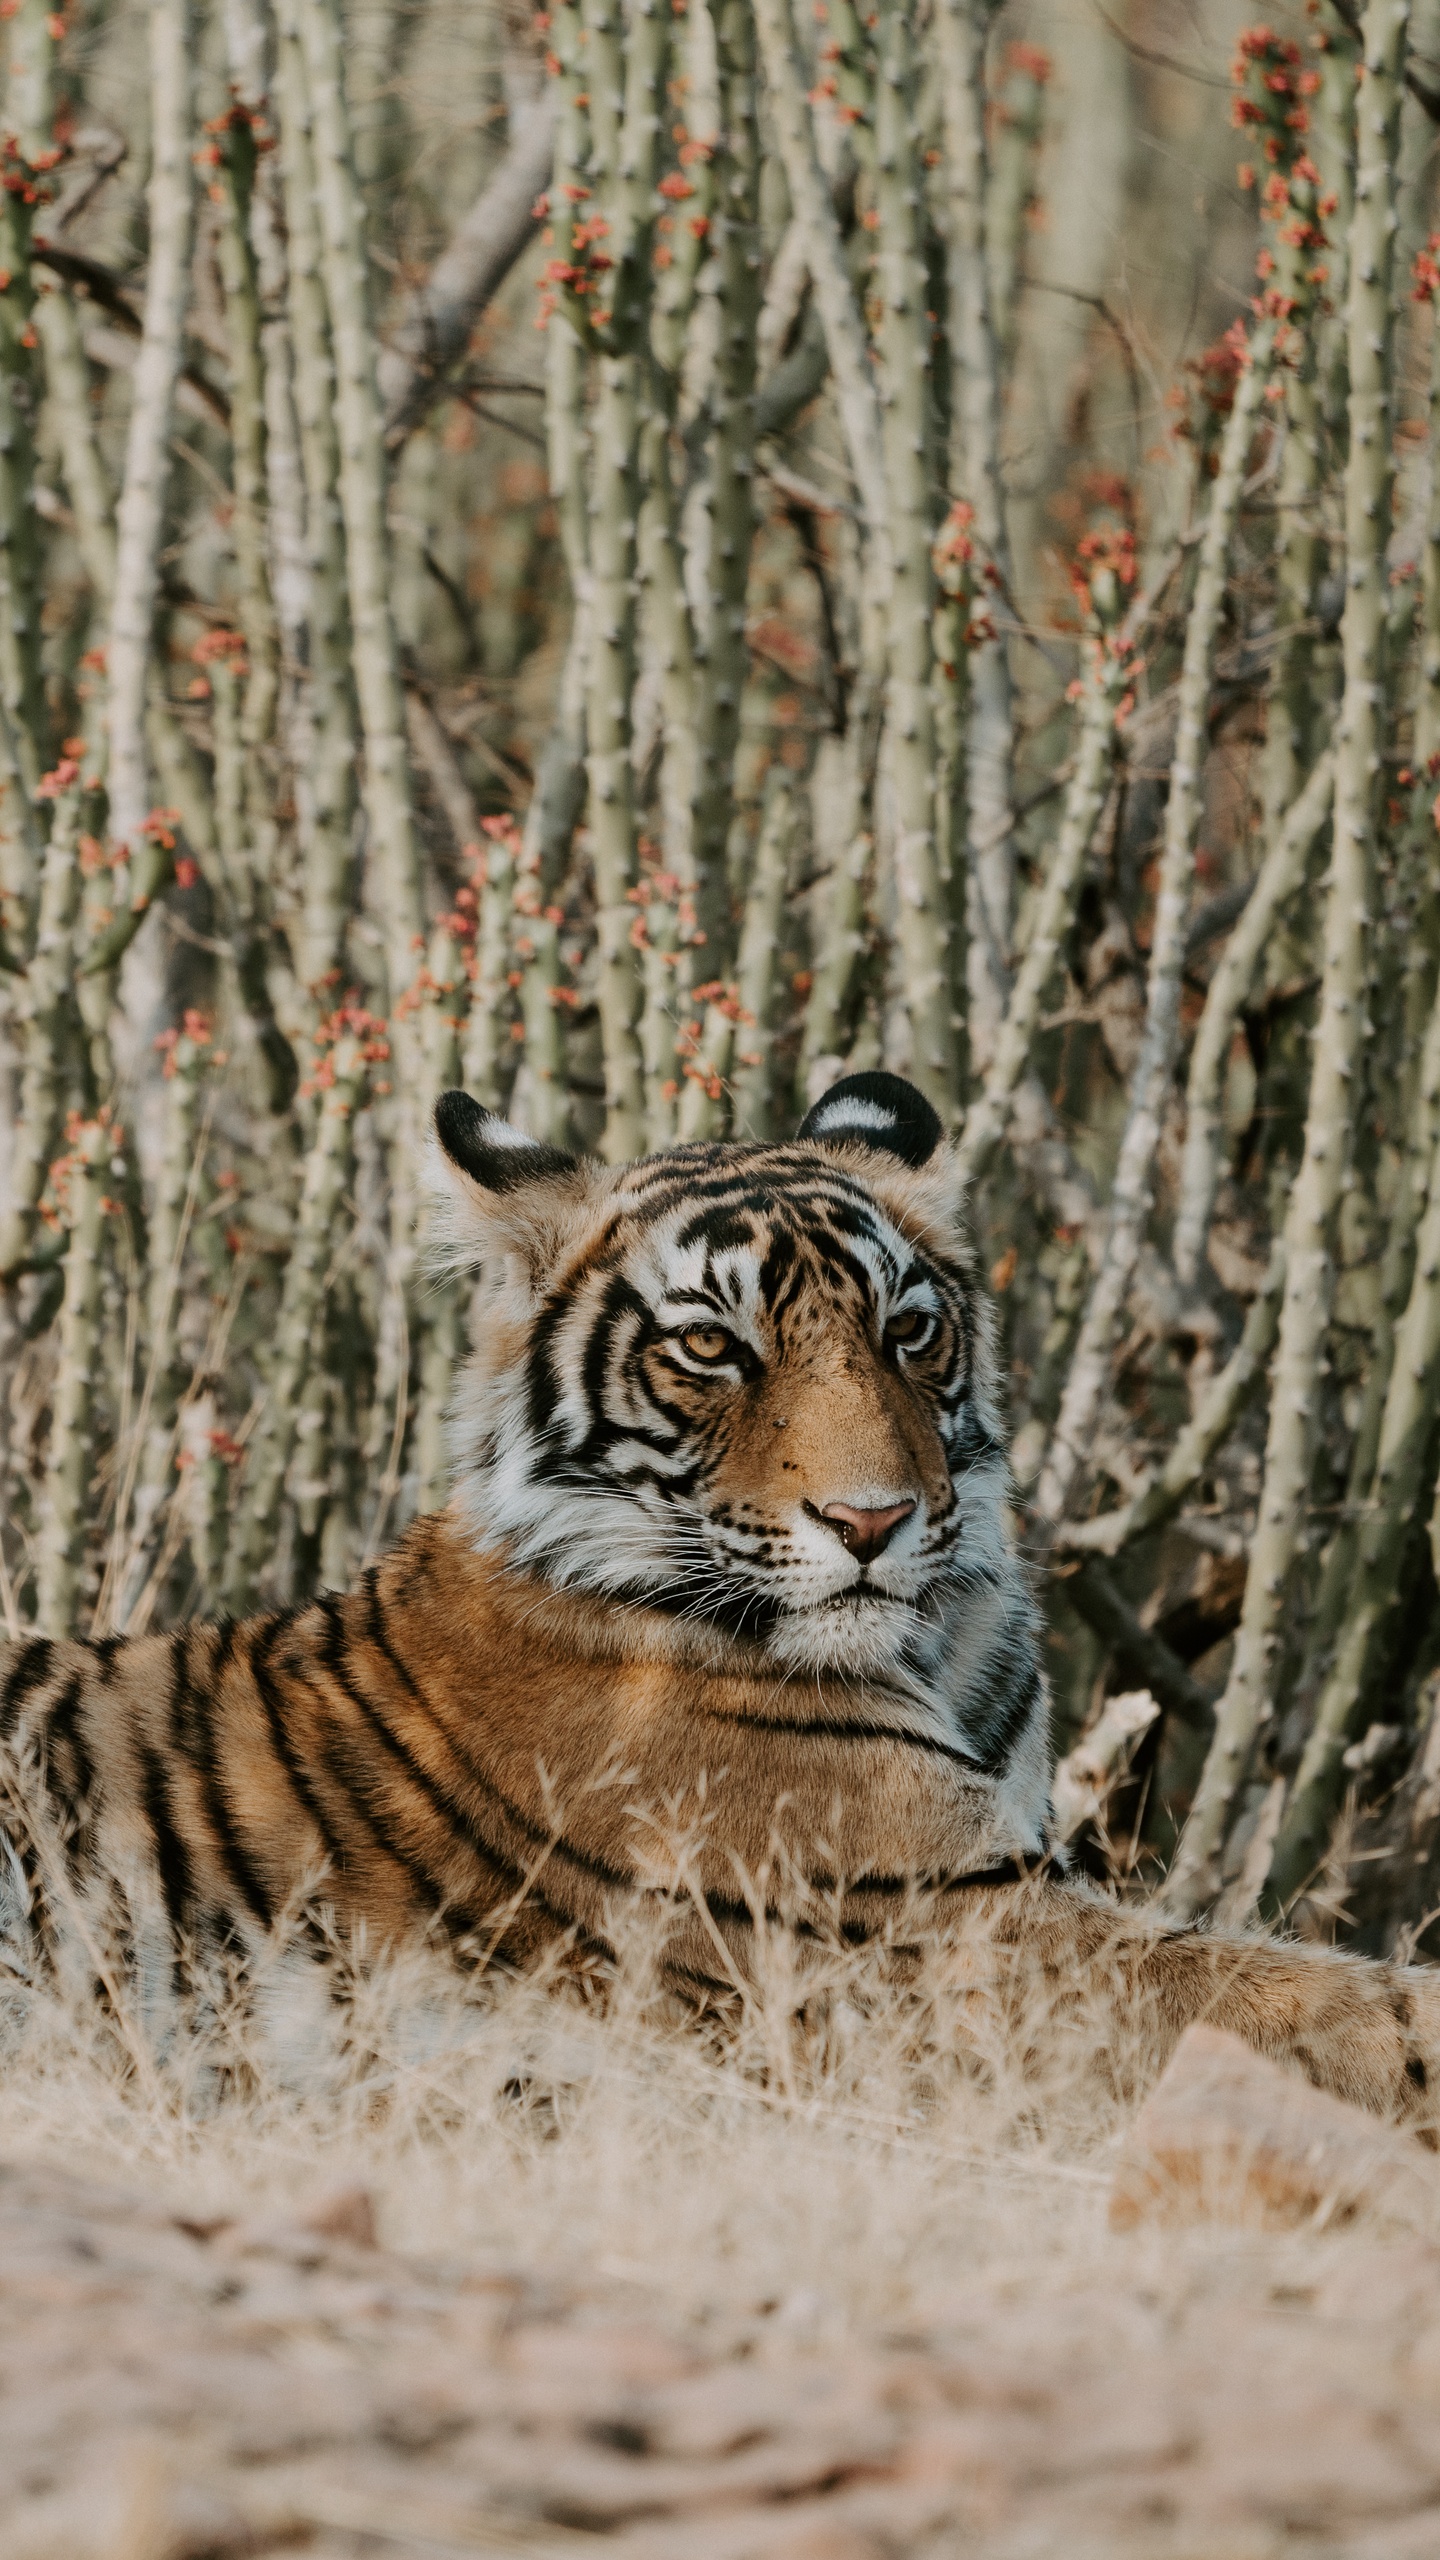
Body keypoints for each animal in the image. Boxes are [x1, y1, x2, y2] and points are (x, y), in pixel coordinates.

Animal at [2, 1064, 1434, 2119]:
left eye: (907, 1331)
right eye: (709, 1347)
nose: (873, 1519)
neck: (941, 1645)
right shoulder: (950, 1934)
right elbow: (1333, 2004)